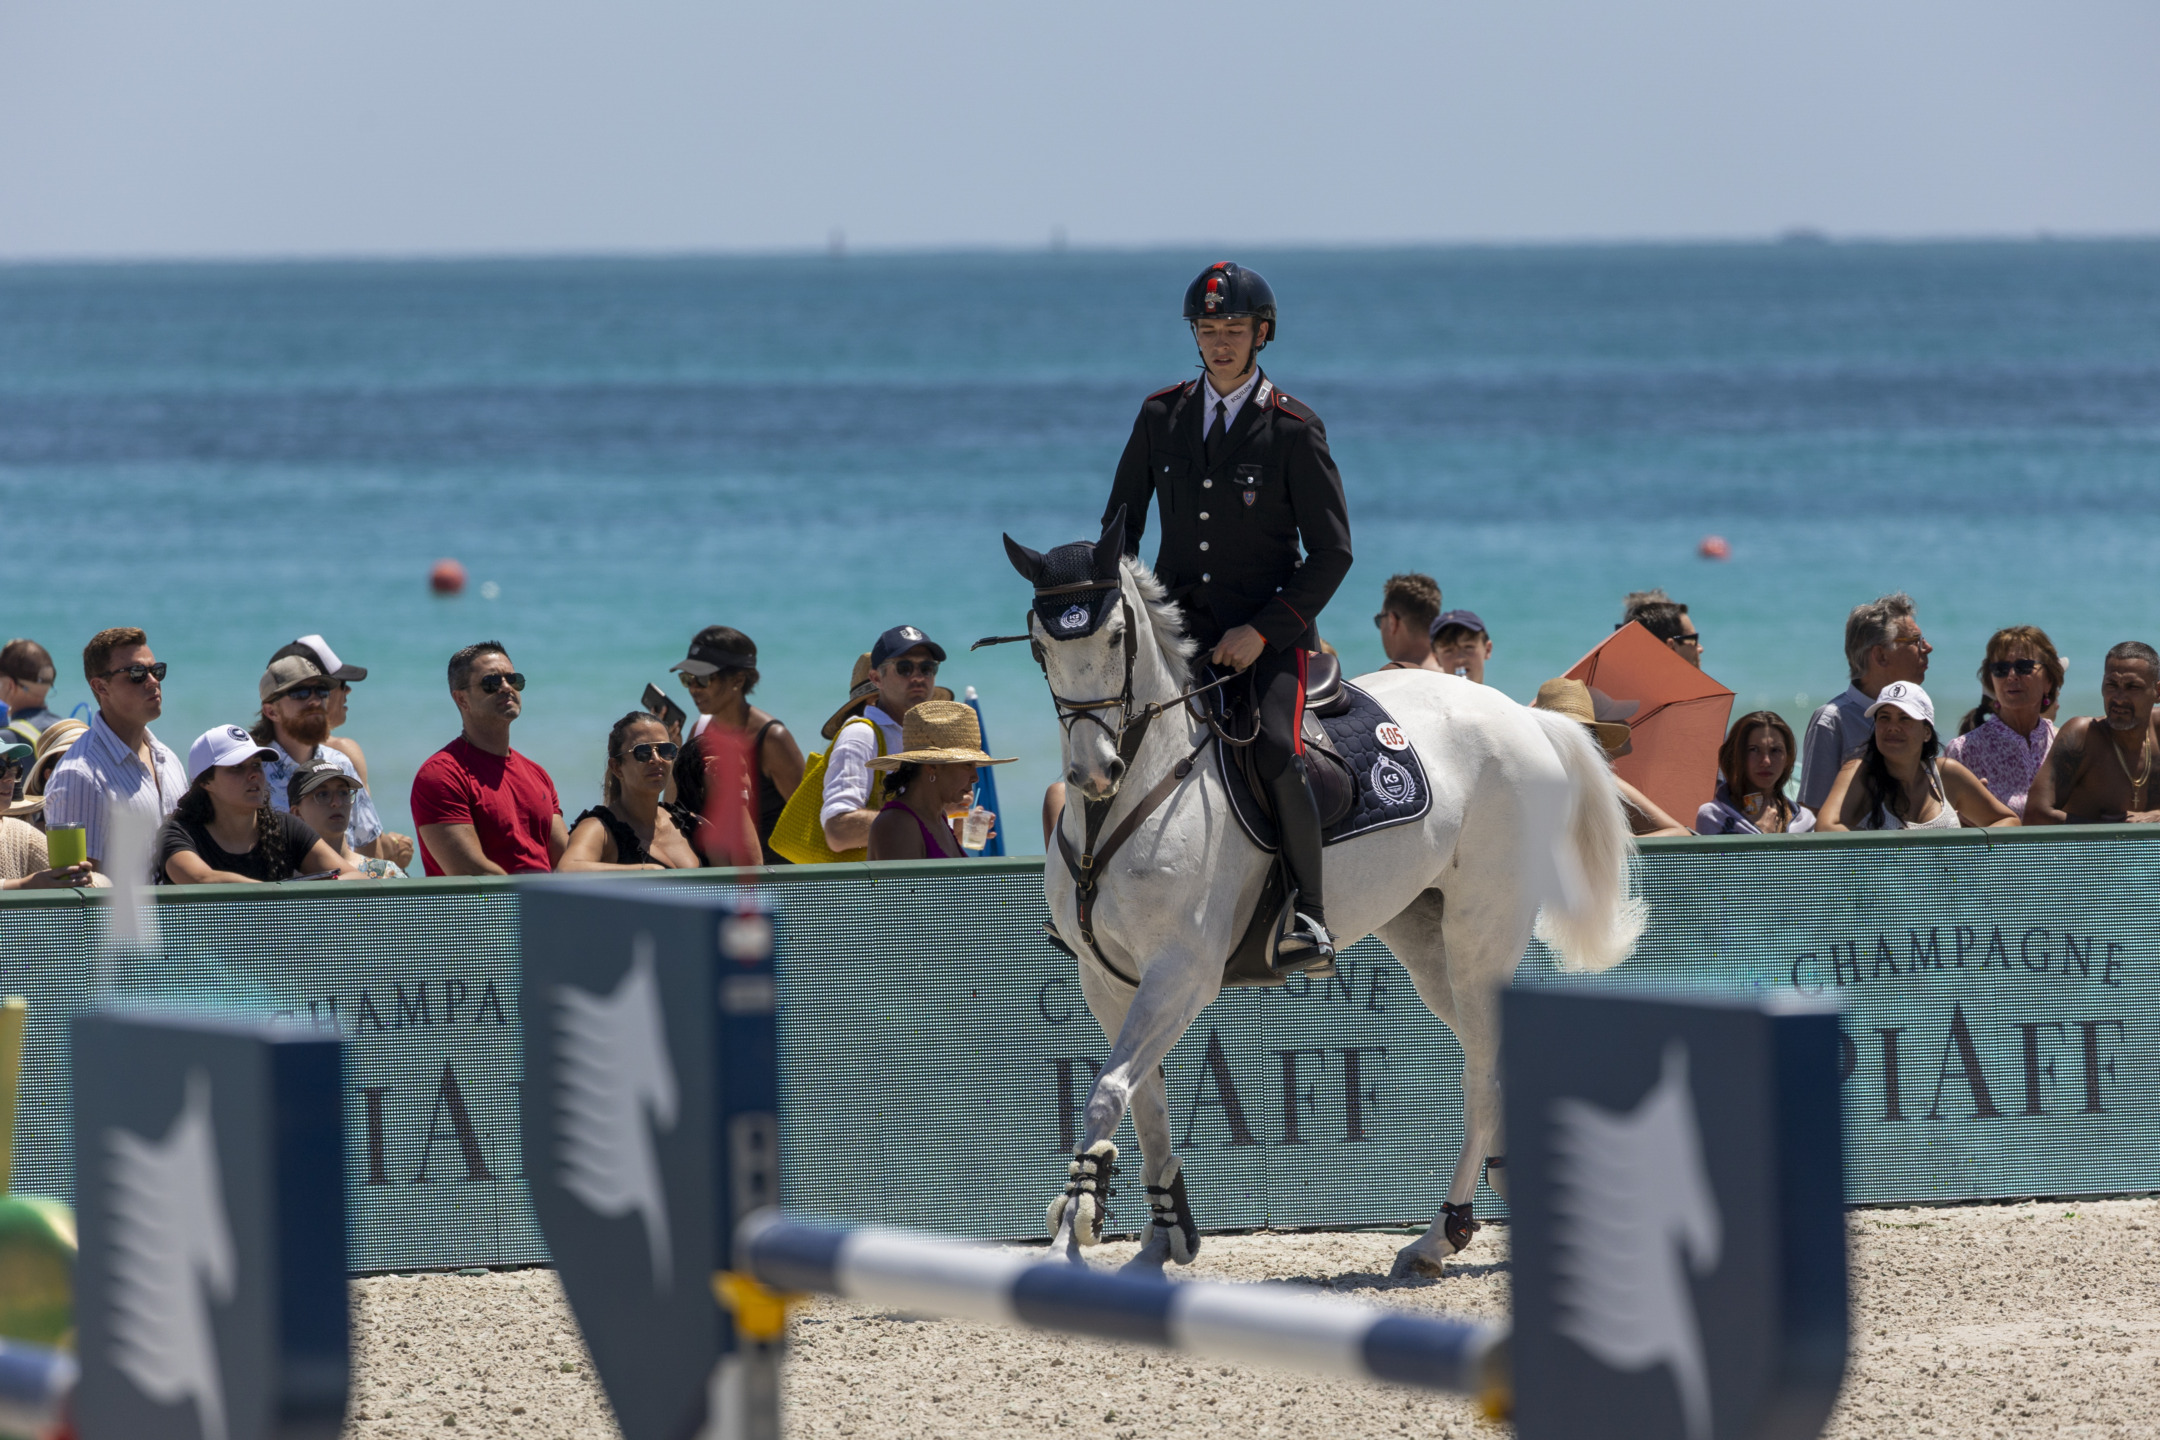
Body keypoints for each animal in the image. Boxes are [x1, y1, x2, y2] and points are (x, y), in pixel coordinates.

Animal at [1002, 515, 1641, 1269]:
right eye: (1041, 646)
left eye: (1114, 637)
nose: (1093, 772)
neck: (1131, 797)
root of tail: (1522, 714)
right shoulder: (1107, 980)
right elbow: (1146, 1103)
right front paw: (1165, 1233)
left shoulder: (1183, 973)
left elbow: (1106, 1093)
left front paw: (1071, 1229)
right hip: (1424, 936)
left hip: (1481, 934)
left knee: (1482, 1076)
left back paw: (1440, 1233)